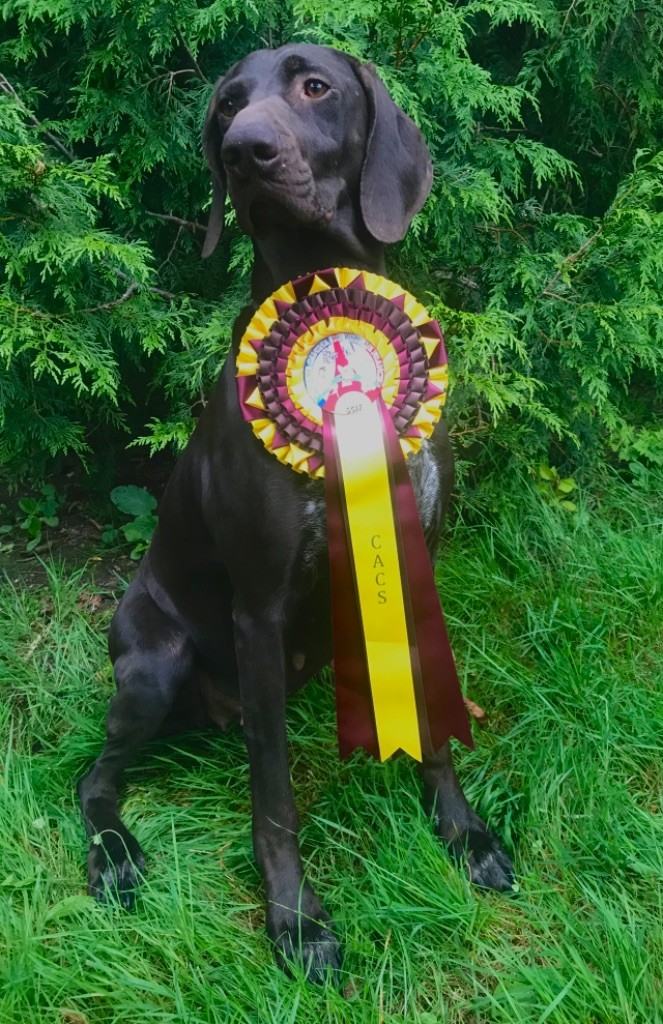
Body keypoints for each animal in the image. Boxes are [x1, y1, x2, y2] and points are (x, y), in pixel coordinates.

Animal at [77, 41, 514, 983]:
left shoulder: (413, 558)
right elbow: (274, 794)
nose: (246, 150)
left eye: (315, 86)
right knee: (96, 777)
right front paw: (294, 918)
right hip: (153, 666)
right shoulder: (259, 612)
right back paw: (118, 856)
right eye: (226, 105)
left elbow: (432, 727)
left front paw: (461, 832)